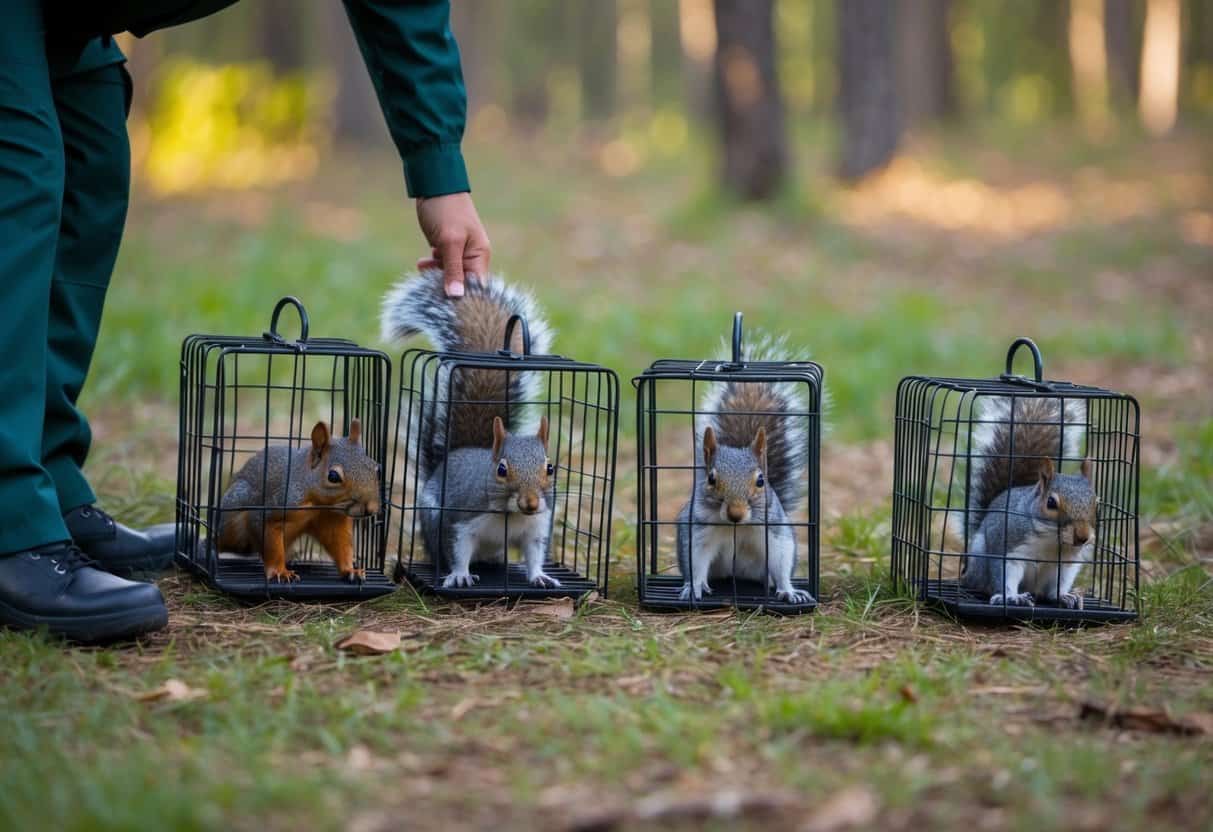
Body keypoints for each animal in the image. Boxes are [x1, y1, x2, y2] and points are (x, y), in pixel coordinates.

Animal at [216, 420, 381, 583]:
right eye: (333, 476)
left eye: (377, 468)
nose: (371, 509)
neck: (320, 504)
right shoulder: (272, 510)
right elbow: (271, 547)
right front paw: (280, 572)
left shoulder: (332, 519)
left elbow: (341, 545)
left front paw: (351, 570)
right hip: (234, 511)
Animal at [380, 269, 560, 590]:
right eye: (501, 469)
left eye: (550, 468)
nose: (530, 502)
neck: (510, 514)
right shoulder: (459, 520)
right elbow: (459, 550)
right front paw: (460, 575)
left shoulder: (536, 526)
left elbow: (534, 553)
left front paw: (539, 575)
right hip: (432, 522)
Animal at [676, 334, 815, 605]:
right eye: (711, 479)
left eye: (761, 481)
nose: (736, 514)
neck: (735, 528)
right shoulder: (698, 532)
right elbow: (696, 563)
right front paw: (694, 587)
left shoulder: (775, 532)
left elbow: (781, 561)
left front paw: (789, 590)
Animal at [959, 397, 1097, 609]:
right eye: (1051, 503)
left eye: (1097, 503)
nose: (1082, 537)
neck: (1051, 539)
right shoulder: (1010, 551)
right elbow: (1006, 576)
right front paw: (1011, 597)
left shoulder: (1066, 564)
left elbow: (1058, 585)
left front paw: (1064, 595)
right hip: (980, 557)